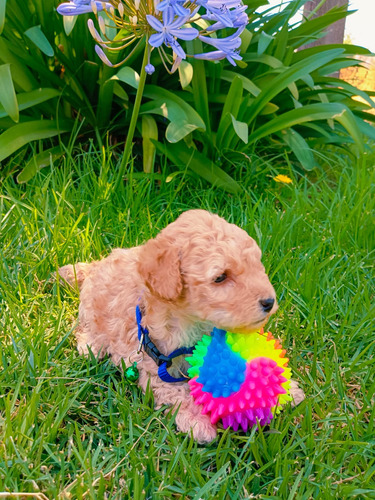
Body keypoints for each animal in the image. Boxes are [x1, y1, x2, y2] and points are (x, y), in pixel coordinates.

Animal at [59, 209, 306, 444]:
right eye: (220, 277)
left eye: (257, 265)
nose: (269, 302)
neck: (195, 323)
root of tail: (94, 267)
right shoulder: (154, 363)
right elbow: (177, 392)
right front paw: (197, 421)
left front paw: (287, 390)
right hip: (90, 308)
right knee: (86, 326)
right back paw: (91, 346)